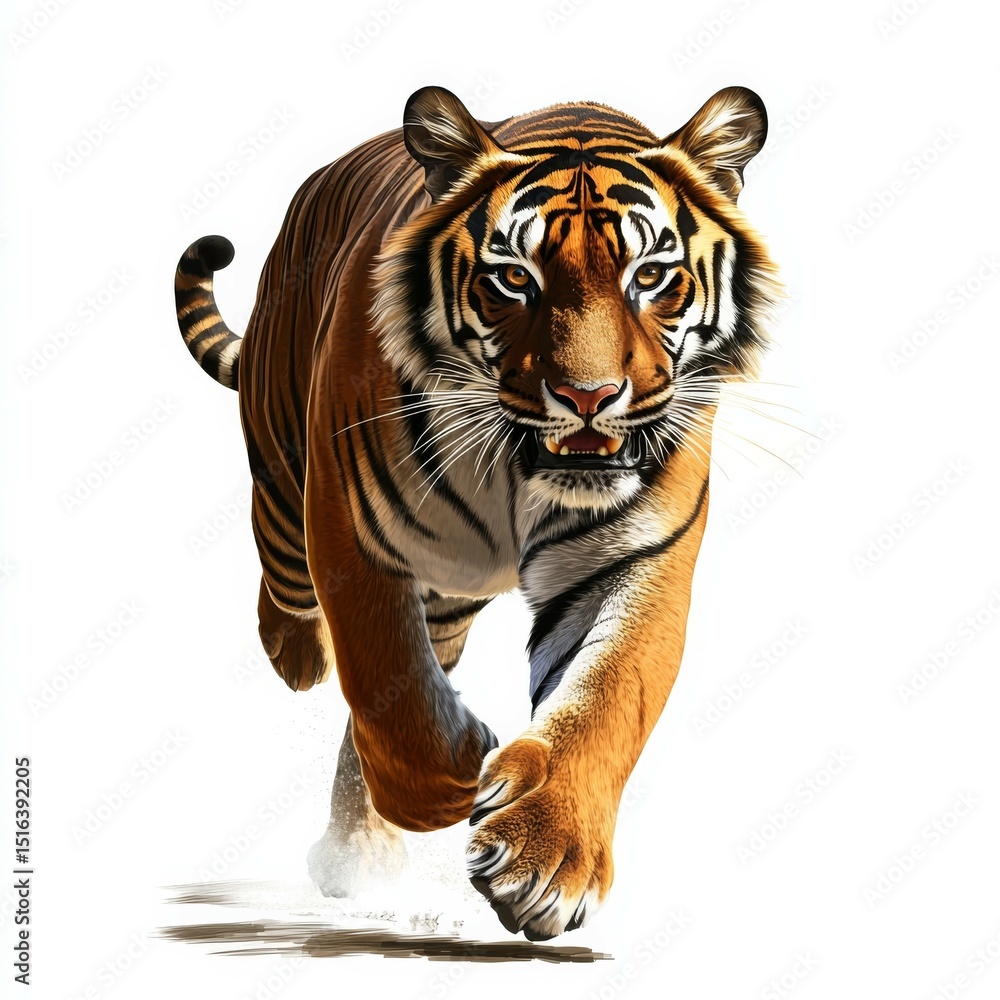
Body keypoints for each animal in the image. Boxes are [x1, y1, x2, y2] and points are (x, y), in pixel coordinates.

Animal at [173, 85, 779, 941]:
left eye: (653, 275)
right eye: (514, 278)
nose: (590, 397)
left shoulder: (636, 561)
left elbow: (607, 698)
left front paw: (546, 856)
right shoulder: (353, 529)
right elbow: (385, 680)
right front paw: (456, 779)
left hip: (451, 596)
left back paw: (358, 854)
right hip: (288, 483)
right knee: (290, 601)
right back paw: (301, 664)